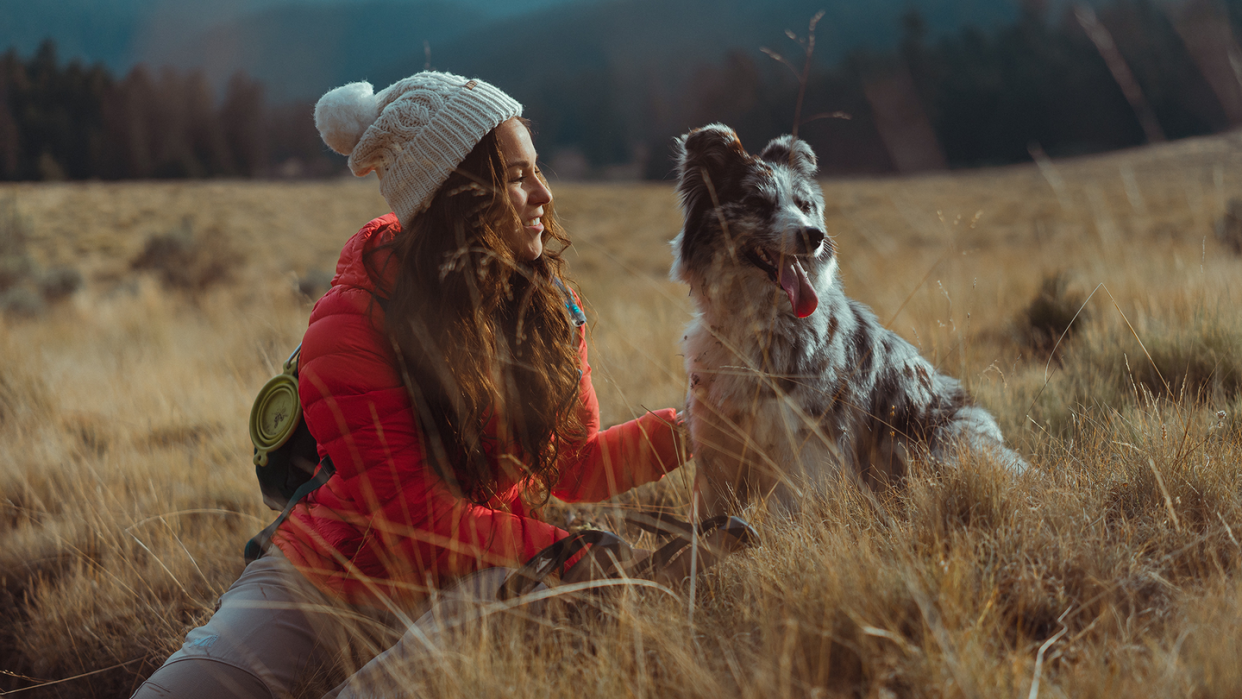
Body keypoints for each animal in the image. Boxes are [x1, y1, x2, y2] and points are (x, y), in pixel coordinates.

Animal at [675, 124, 1023, 514]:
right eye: (758, 203)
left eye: (805, 205)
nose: (815, 235)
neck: (759, 320)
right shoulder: (718, 446)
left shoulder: (802, 447)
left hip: (948, 436)